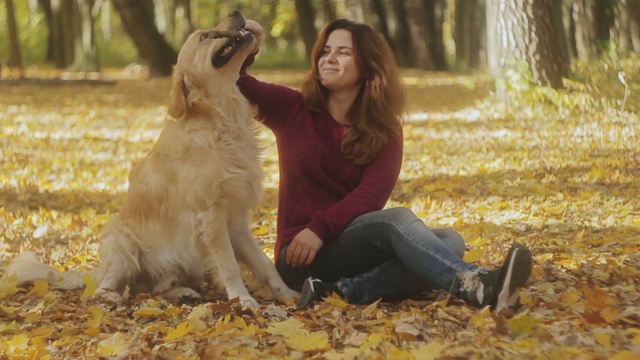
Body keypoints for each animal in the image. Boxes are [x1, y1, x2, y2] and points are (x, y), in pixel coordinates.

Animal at [5, 10, 298, 306]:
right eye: (205, 36)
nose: (235, 13)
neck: (221, 120)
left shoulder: (236, 219)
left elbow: (264, 263)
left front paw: (288, 293)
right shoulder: (210, 215)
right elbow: (229, 264)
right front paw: (242, 300)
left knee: (154, 288)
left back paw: (183, 292)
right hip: (121, 242)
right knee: (109, 287)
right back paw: (110, 296)